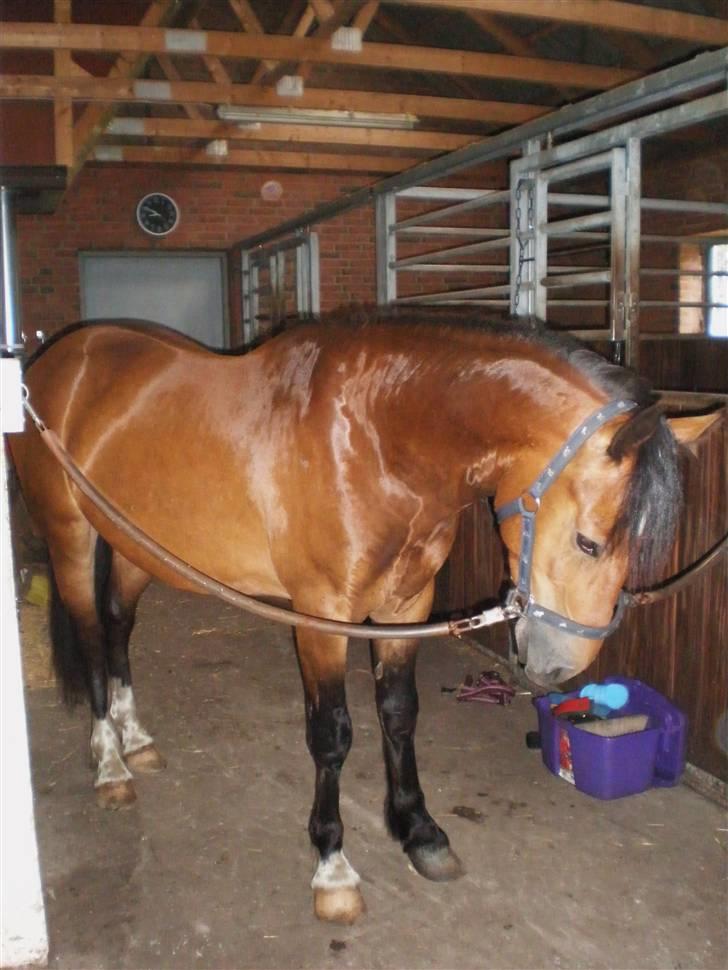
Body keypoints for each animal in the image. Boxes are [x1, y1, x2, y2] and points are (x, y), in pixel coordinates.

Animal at [8, 310, 712, 924]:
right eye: (589, 543)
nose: (560, 666)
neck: (375, 439)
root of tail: (56, 363)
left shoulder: (408, 605)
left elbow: (399, 714)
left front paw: (419, 831)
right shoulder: (323, 614)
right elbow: (333, 734)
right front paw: (333, 867)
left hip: (138, 547)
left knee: (118, 626)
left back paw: (136, 738)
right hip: (72, 539)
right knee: (91, 638)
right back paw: (109, 763)